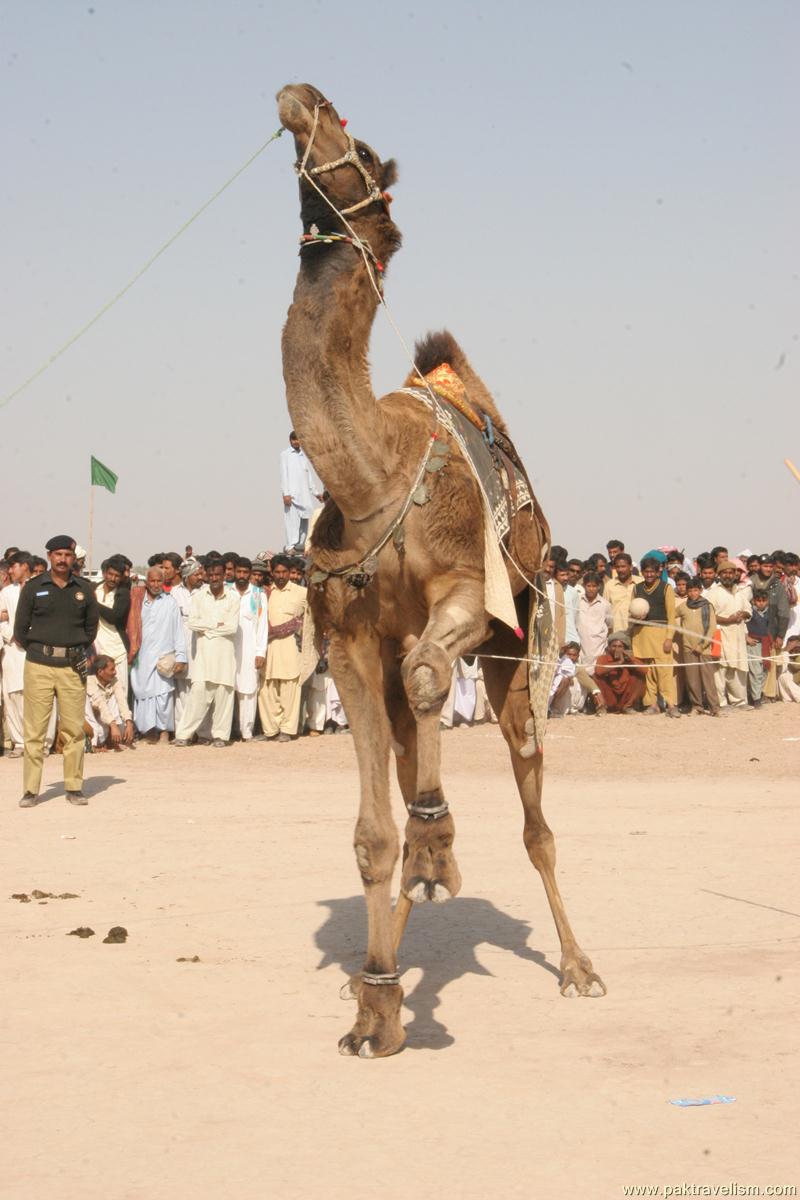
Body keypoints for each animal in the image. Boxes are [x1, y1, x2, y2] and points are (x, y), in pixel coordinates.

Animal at [278, 82, 604, 1060]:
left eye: (359, 146)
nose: (300, 97)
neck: (375, 475)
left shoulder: (466, 589)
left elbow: (430, 674)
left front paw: (435, 846)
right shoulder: (347, 638)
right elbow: (369, 836)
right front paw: (377, 1008)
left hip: (517, 637)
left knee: (530, 792)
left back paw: (576, 964)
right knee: (409, 733)